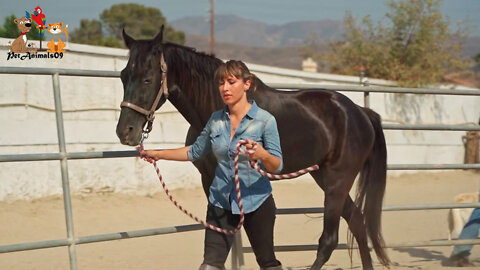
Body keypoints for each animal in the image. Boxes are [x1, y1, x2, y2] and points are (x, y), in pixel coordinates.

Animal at [116, 28, 390, 270]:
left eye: (148, 78)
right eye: (123, 76)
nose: (125, 132)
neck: (215, 106)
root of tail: (360, 112)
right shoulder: (209, 179)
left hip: (337, 181)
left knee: (329, 240)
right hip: (323, 176)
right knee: (357, 221)